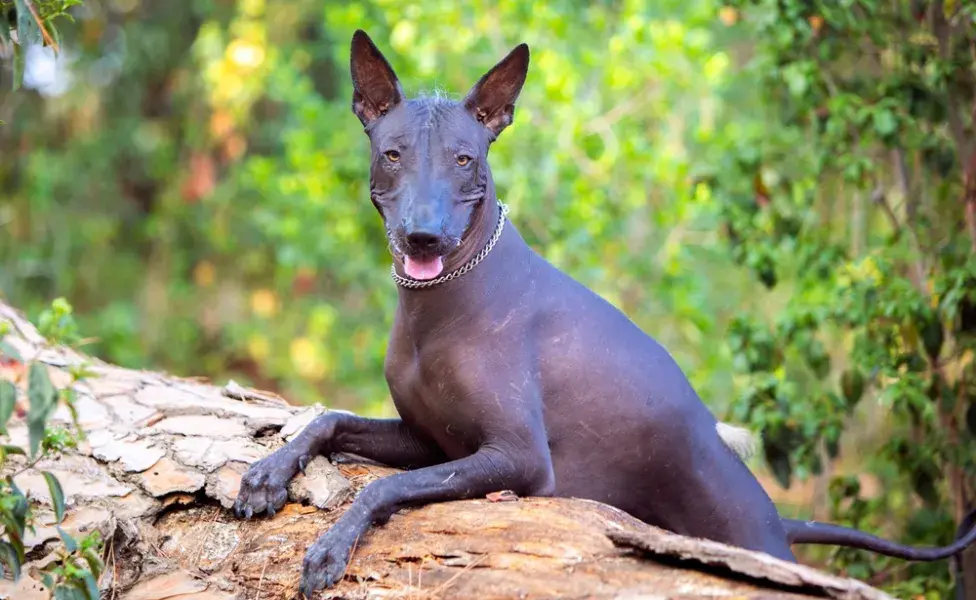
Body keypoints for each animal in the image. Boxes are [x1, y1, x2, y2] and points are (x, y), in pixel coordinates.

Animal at [234, 31, 976, 596]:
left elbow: (386, 490)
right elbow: (330, 419)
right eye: (393, 154)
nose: (425, 237)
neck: (441, 305)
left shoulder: (513, 458)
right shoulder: (433, 441)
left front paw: (330, 548)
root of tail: (773, 515)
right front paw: (269, 472)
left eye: (464, 159)